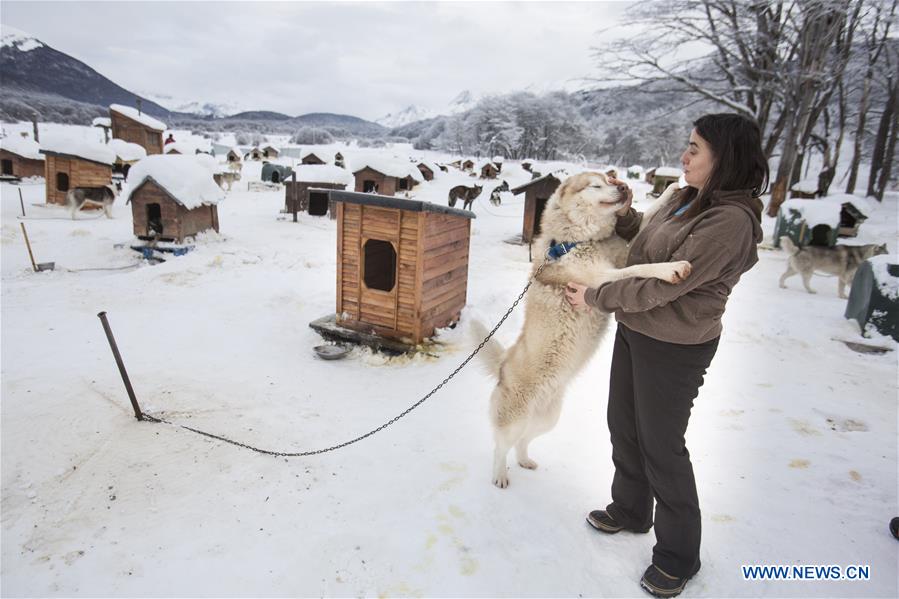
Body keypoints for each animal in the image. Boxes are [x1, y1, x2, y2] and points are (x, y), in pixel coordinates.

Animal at [472, 176, 696, 490]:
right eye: (595, 186)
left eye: (610, 180)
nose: (623, 187)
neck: (578, 241)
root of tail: (503, 364)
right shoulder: (605, 277)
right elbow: (642, 267)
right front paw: (672, 268)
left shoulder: (623, 254)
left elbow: (647, 219)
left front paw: (671, 190)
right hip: (515, 419)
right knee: (500, 446)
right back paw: (499, 475)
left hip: (548, 419)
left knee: (522, 441)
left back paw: (525, 461)